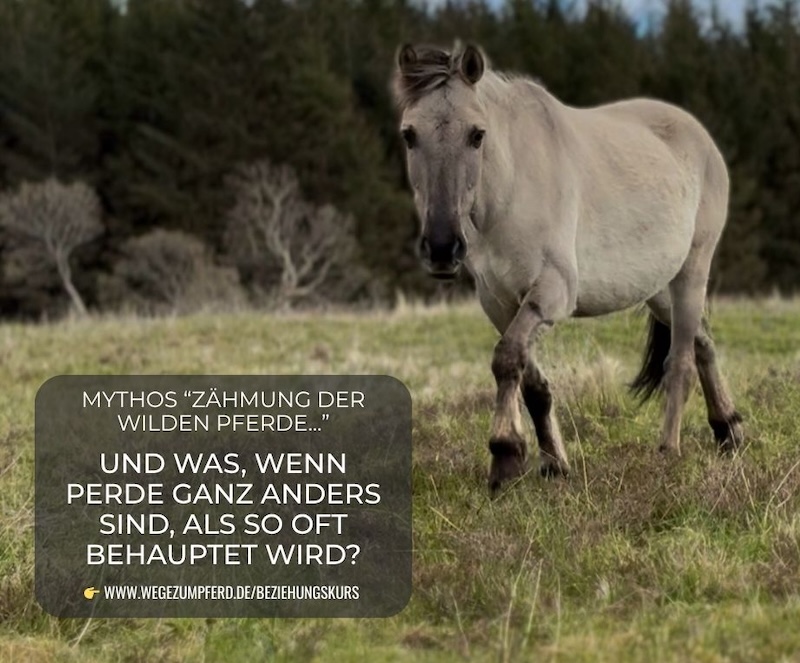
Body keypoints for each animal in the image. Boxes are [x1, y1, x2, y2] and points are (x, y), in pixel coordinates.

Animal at [392, 42, 743, 495]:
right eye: (409, 134)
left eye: (476, 135)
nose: (441, 247)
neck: (511, 186)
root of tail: (700, 138)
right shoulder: (500, 303)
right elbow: (532, 383)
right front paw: (554, 465)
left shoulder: (551, 293)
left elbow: (507, 358)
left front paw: (505, 456)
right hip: (660, 290)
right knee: (703, 344)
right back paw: (728, 430)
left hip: (691, 272)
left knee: (680, 363)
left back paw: (668, 452)